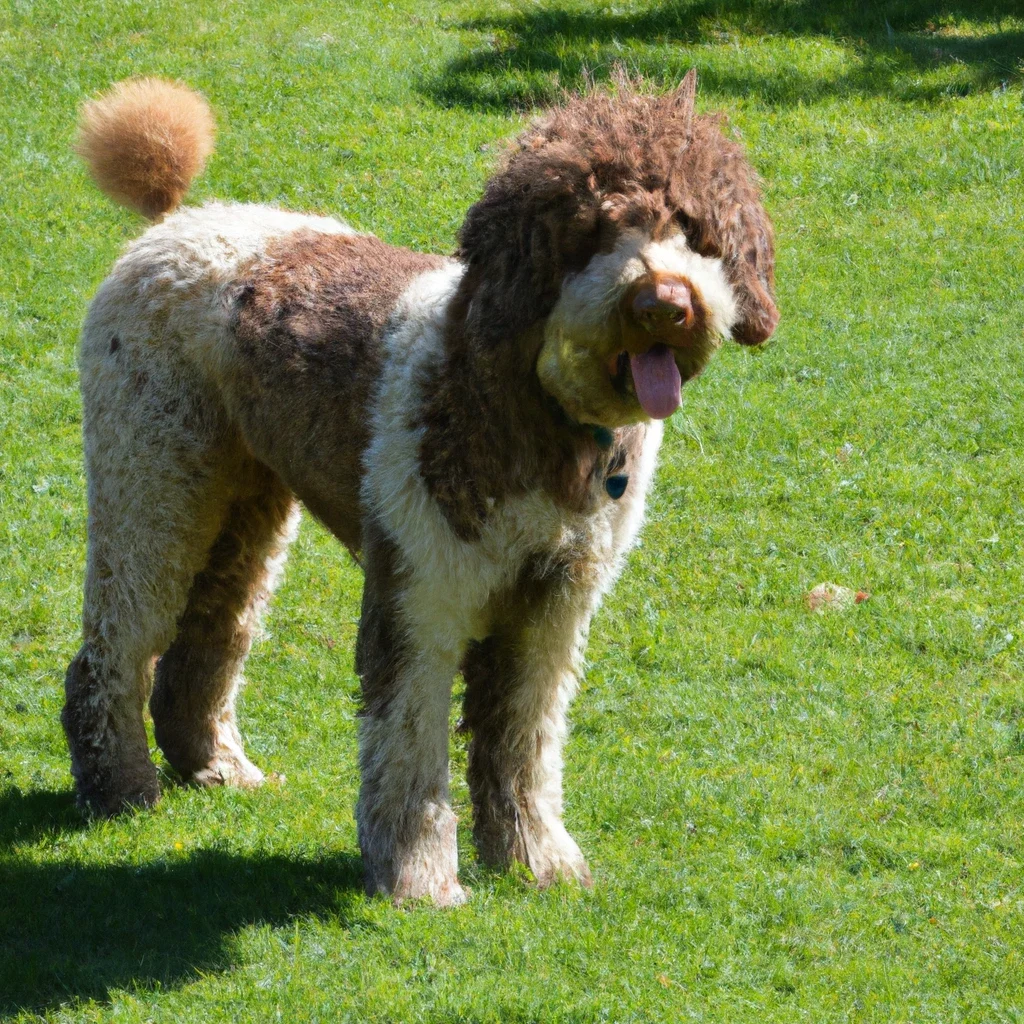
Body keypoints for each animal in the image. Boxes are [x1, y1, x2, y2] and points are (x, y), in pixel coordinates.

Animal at [61, 72, 774, 905]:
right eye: (593, 232)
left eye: (695, 230)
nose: (665, 303)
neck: (533, 411)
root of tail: (176, 221)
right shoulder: (422, 594)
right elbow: (408, 746)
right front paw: (420, 880)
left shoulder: (553, 604)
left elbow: (522, 743)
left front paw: (536, 860)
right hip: (151, 482)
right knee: (115, 646)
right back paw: (120, 786)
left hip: (246, 503)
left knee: (210, 633)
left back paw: (215, 765)